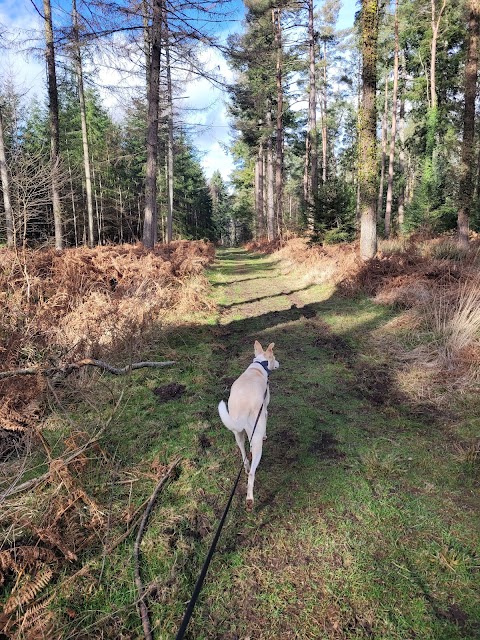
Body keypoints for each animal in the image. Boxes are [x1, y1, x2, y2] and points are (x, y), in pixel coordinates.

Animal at [218, 340, 280, 510]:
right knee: (252, 472)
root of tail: (243, 406)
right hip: (257, 438)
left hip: (237, 433)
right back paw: (250, 499)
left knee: (244, 456)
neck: (259, 365)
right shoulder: (264, 411)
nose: (279, 364)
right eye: (275, 357)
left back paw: (245, 467)